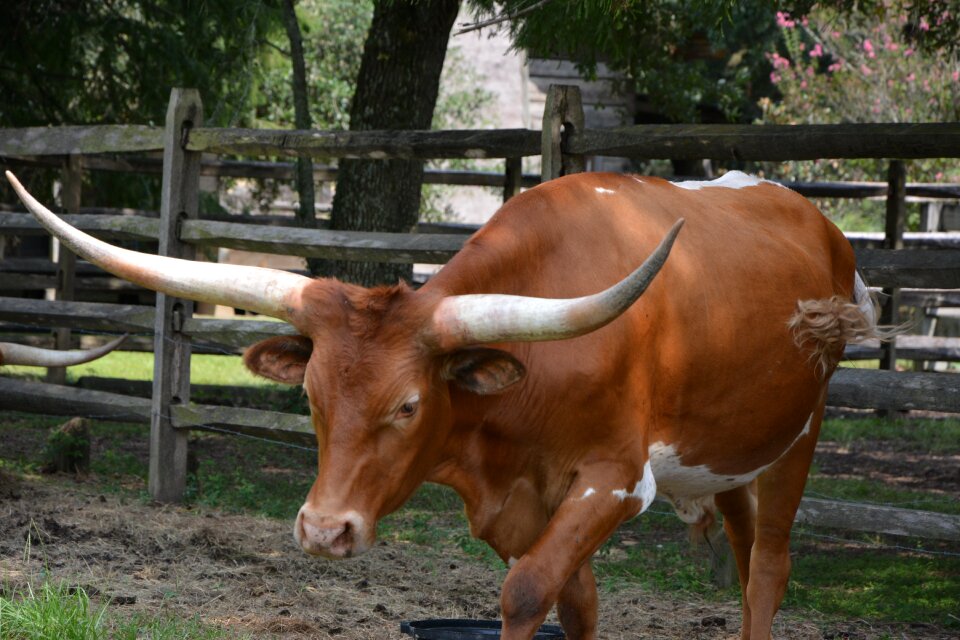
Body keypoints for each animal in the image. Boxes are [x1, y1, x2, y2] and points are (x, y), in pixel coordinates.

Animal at [7, 170, 876, 640]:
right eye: (311, 396)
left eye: (408, 405)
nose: (323, 532)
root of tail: (824, 226)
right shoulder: (524, 502)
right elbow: (575, 602)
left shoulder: (616, 479)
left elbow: (526, 591)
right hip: (731, 460)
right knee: (743, 553)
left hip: (800, 438)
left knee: (768, 569)